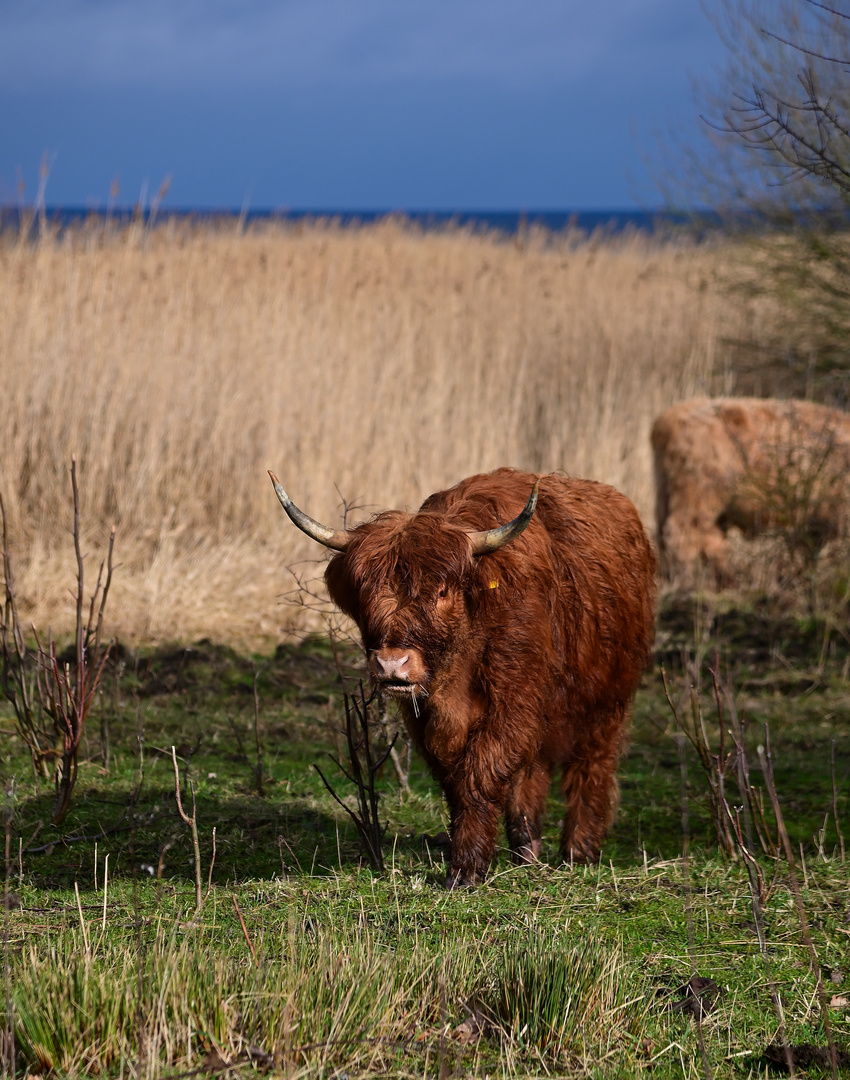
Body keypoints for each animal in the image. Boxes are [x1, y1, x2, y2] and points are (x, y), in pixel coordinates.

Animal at [272, 468, 656, 889]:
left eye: (441, 591)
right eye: (365, 593)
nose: (391, 665)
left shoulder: (513, 702)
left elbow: (481, 772)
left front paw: (466, 869)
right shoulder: (427, 719)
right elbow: (456, 781)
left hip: (607, 700)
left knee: (592, 767)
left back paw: (578, 852)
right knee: (532, 773)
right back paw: (526, 852)